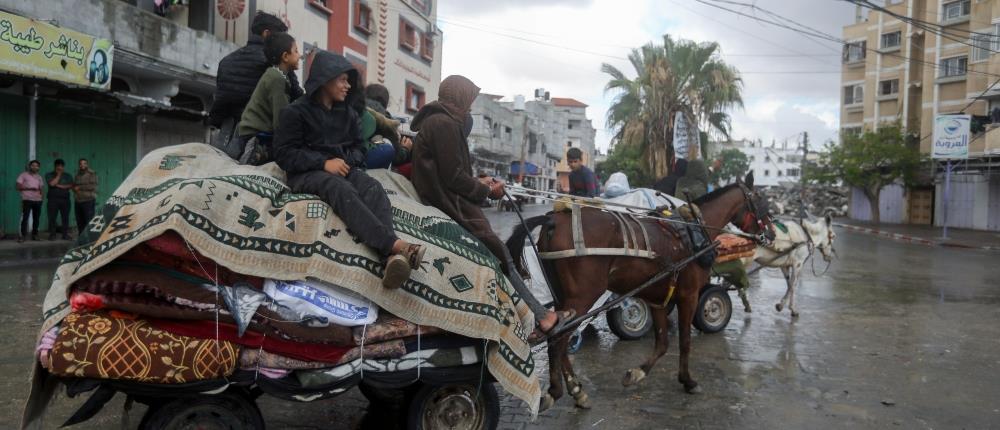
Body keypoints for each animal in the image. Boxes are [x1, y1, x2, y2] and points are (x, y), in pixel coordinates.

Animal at [508, 171, 772, 410]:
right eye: (761, 201)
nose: (770, 233)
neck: (694, 230)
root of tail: (554, 220)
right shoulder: (689, 295)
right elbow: (685, 341)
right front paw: (688, 381)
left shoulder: (658, 298)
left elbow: (663, 342)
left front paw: (637, 373)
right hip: (583, 296)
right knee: (557, 340)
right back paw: (555, 391)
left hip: (563, 297)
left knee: (560, 337)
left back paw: (577, 390)